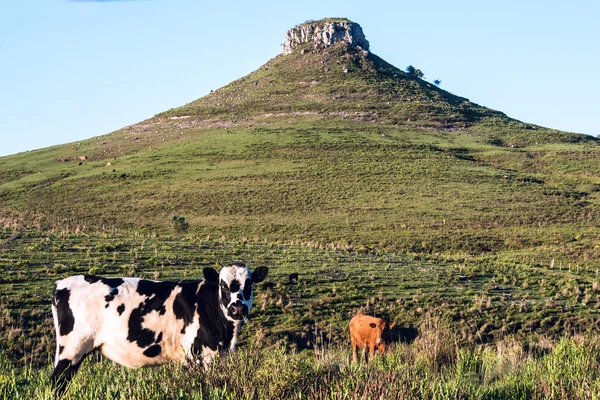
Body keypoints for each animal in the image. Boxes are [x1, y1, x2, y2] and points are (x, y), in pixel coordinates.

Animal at [49, 262, 268, 390]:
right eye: (223, 284)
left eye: (249, 284)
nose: (237, 308)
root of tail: (63, 284)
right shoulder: (200, 357)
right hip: (71, 350)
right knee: (56, 382)